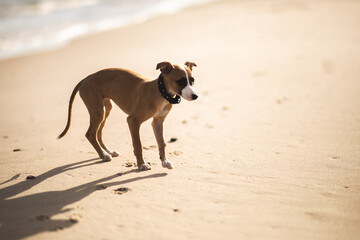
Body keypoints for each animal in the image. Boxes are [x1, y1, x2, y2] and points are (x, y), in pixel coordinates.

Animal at [57, 62, 198, 171]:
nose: (195, 96)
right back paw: (103, 155)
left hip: (106, 109)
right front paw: (141, 165)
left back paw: (108, 152)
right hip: (97, 111)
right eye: (180, 81)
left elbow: (162, 142)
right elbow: (138, 145)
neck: (160, 92)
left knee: (98, 133)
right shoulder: (132, 120)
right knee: (90, 134)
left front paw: (165, 161)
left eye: (192, 81)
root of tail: (86, 78)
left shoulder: (158, 121)